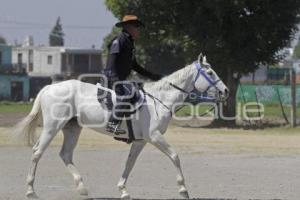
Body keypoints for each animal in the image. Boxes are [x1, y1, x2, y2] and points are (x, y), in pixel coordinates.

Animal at [14, 54, 227, 199]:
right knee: (37, 152)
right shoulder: (154, 136)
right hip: (52, 127)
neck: (158, 100)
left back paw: (82, 188)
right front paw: (183, 189)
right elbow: (174, 156)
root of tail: (49, 87)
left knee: (65, 154)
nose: (225, 90)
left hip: (72, 129)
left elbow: (129, 163)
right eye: (209, 72)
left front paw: (123, 190)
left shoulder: (141, 141)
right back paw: (30, 190)